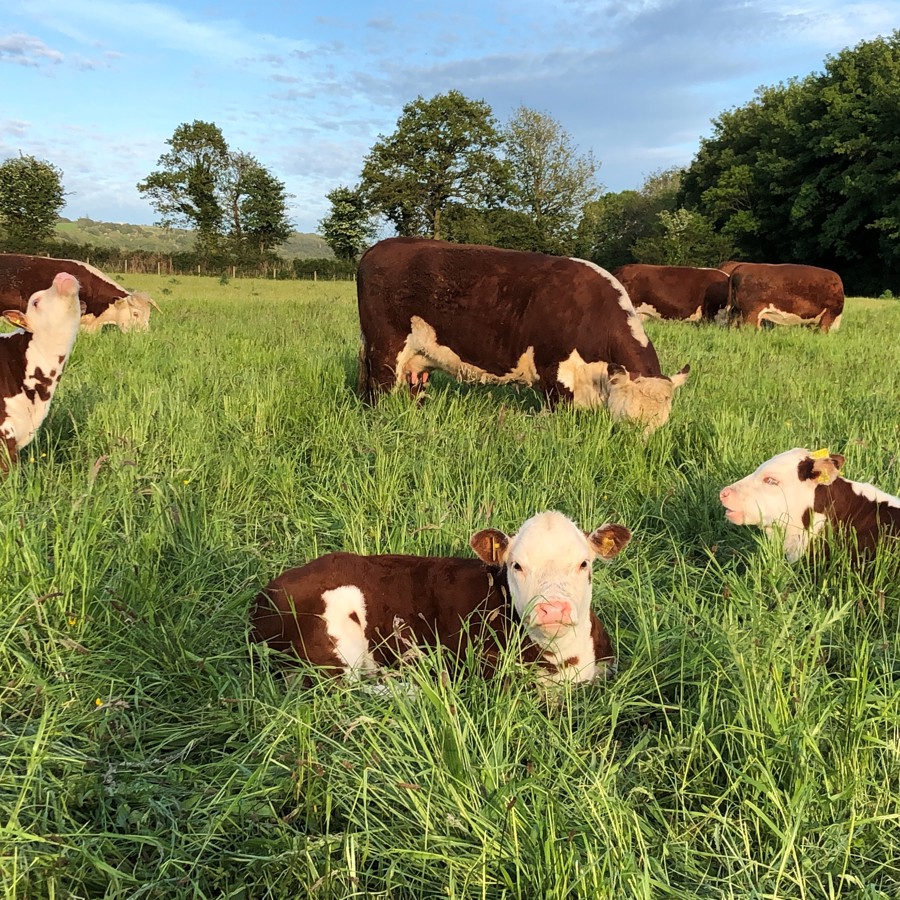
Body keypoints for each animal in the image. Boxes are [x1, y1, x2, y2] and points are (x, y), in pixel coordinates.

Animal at [356, 238, 690, 434]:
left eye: (660, 425)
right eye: (629, 422)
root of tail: (379, 247)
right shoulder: (555, 372)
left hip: (417, 359)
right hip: (384, 350)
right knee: (379, 390)